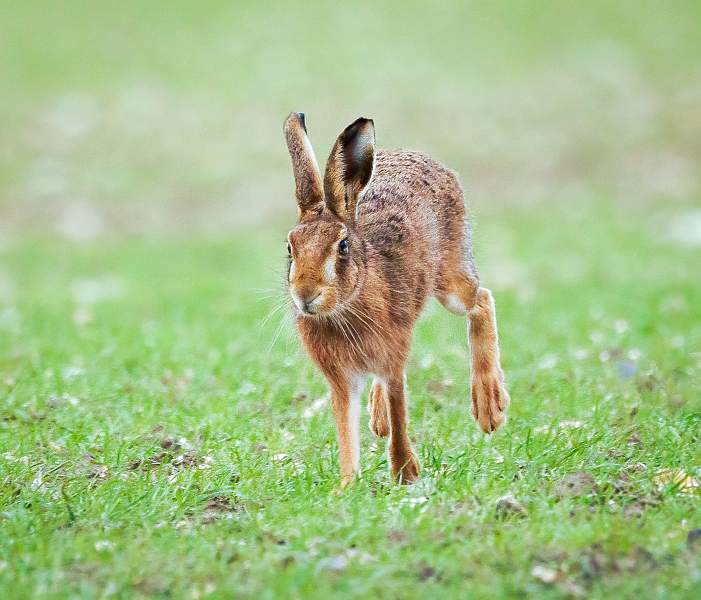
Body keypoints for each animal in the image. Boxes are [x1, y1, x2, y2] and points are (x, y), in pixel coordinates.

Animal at [283, 112, 509, 486]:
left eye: (342, 247)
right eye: (290, 248)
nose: (305, 295)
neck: (347, 306)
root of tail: (422, 157)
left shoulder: (393, 355)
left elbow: (399, 406)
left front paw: (406, 474)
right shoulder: (340, 378)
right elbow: (346, 429)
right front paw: (346, 485)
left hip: (450, 282)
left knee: (482, 299)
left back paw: (489, 405)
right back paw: (378, 419)